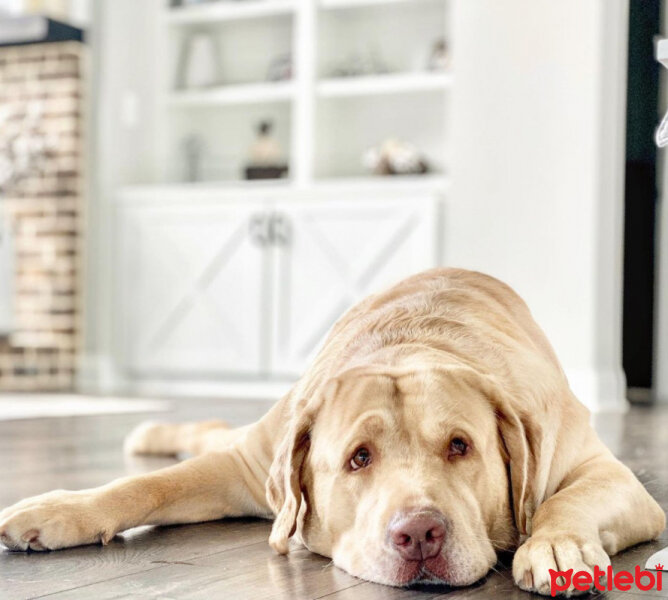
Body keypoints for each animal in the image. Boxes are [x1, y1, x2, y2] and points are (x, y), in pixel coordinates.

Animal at [0, 270, 664, 596]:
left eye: (460, 446)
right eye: (358, 459)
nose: (419, 534)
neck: (411, 342)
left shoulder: (603, 471)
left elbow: (567, 498)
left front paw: (556, 547)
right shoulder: (247, 465)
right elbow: (149, 486)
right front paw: (57, 511)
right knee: (207, 436)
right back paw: (148, 432)